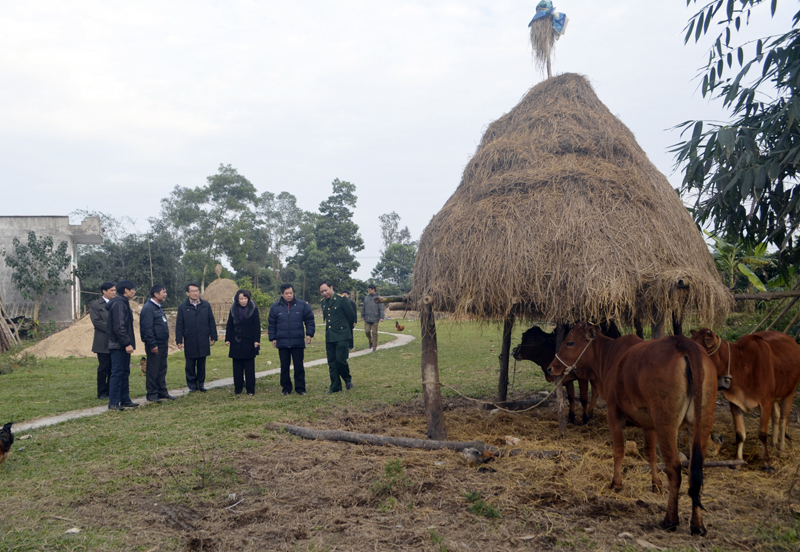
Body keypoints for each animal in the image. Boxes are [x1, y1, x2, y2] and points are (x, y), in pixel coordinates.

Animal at [548, 324, 716, 536]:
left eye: (569, 342)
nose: (550, 367)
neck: (609, 355)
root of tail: (685, 344)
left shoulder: (614, 414)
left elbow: (618, 451)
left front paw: (616, 483)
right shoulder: (649, 424)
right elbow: (650, 454)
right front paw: (656, 484)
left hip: (666, 424)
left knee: (674, 468)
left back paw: (670, 520)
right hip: (702, 424)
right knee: (696, 469)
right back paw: (697, 525)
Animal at [688, 330, 800, 472]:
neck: (741, 363)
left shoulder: (765, 402)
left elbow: (762, 433)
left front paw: (767, 463)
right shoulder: (735, 402)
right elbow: (740, 434)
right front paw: (737, 461)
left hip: (790, 392)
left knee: (784, 419)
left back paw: (781, 447)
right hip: (776, 396)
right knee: (776, 415)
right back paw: (774, 441)